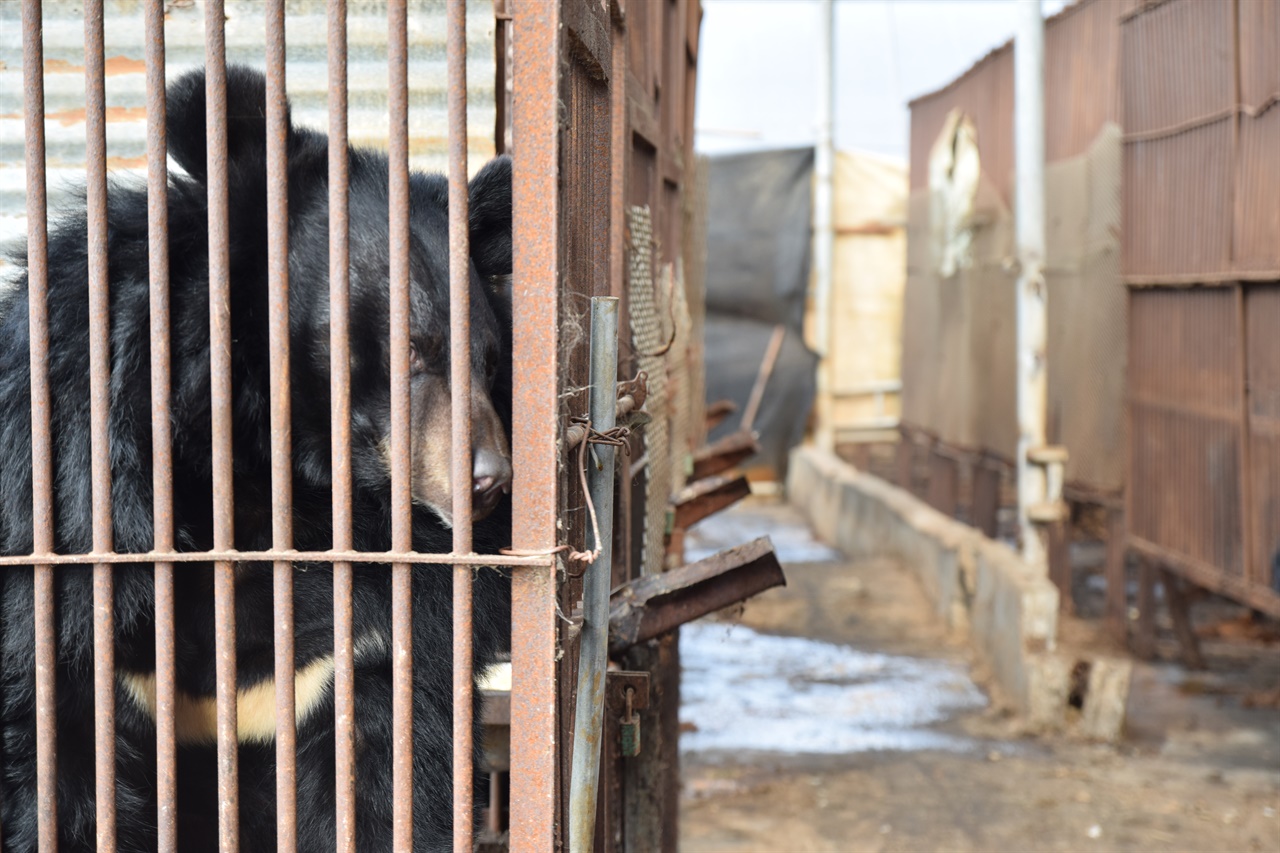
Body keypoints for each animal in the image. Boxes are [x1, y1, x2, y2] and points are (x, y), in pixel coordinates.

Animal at [5, 63, 517, 845]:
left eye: (489, 363)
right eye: (410, 349)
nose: (490, 480)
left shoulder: (366, 643)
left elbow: (381, 781)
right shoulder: (75, 496)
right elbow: (61, 770)